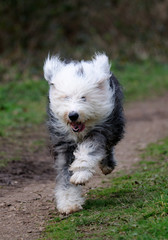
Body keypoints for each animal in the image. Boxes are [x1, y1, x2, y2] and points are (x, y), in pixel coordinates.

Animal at [43, 53, 124, 215]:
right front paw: (69, 203)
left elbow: (89, 150)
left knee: (108, 147)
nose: (73, 115)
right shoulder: (63, 144)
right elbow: (65, 173)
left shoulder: (101, 129)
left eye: (84, 97)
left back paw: (107, 165)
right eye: (66, 97)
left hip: (115, 125)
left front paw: (80, 174)